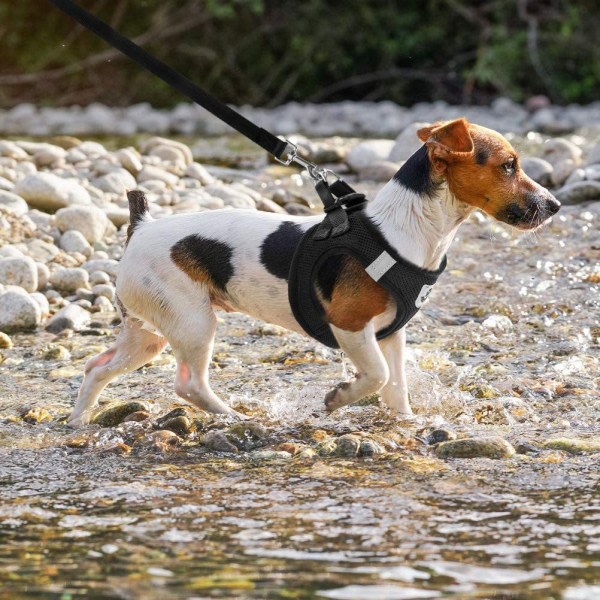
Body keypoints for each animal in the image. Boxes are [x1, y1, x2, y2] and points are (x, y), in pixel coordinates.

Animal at [68, 117, 560, 426]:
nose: (555, 205)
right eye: (509, 165)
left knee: (96, 367)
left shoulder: (392, 334)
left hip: (147, 333)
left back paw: (79, 422)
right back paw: (231, 415)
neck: (407, 229)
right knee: (187, 385)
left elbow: (396, 387)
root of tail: (142, 225)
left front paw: (404, 422)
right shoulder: (350, 326)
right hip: (193, 323)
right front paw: (340, 398)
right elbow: (377, 376)